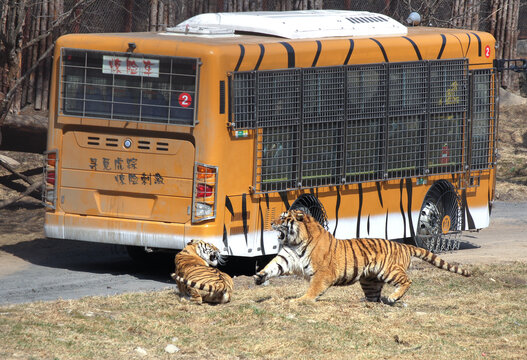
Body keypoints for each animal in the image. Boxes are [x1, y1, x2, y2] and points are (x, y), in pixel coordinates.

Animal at [255, 208, 470, 304]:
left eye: (283, 218)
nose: (271, 223)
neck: (295, 241)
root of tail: (403, 244)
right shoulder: (287, 257)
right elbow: (273, 266)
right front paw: (259, 277)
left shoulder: (322, 273)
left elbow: (313, 288)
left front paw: (301, 300)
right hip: (370, 280)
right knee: (374, 296)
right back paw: (366, 302)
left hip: (389, 271)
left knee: (407, 281)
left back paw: (393, 297)